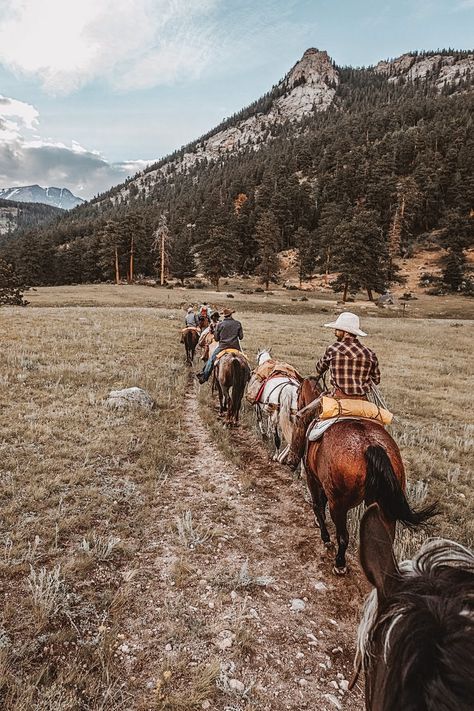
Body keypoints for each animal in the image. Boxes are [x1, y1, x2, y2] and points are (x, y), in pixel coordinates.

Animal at [290, 378, 438, 572]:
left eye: (298, 391)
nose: (296, 409)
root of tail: (370, 445)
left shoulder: (313, 479)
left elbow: (318, 506)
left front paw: (325, 537)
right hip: (383, 507)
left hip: (339, 503)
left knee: (343, 536)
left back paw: (340, 564)